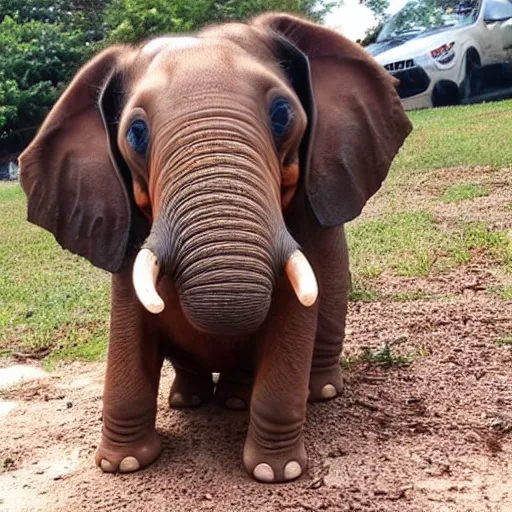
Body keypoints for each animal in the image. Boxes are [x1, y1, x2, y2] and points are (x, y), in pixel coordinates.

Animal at [19, 13, 412, 484]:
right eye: (136, 133)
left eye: (282, 115)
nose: (119, 462)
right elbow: (129, 327)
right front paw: (123, 465)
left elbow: (293, 316)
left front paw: (274, 473)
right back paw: (189, 401)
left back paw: (304, 394)